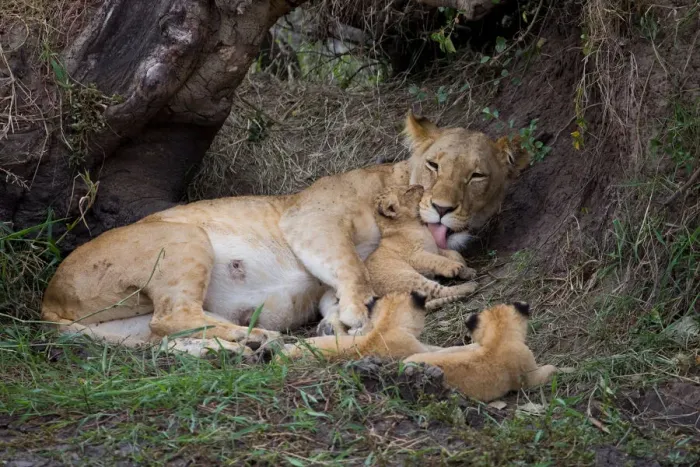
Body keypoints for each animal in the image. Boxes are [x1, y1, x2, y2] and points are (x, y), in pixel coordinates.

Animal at [41, 112, 530, 354]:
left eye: (477, 176)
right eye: (434, 165)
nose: (444, 209)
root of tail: (49, 299)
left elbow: (338, 291)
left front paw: (337, 321)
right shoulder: (312, 218)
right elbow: (356, 269)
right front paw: (356, 317)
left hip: (129, 327)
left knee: (163, 336)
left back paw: (239, 346)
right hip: (184, 239)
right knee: (172, 316)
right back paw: (259, 338)